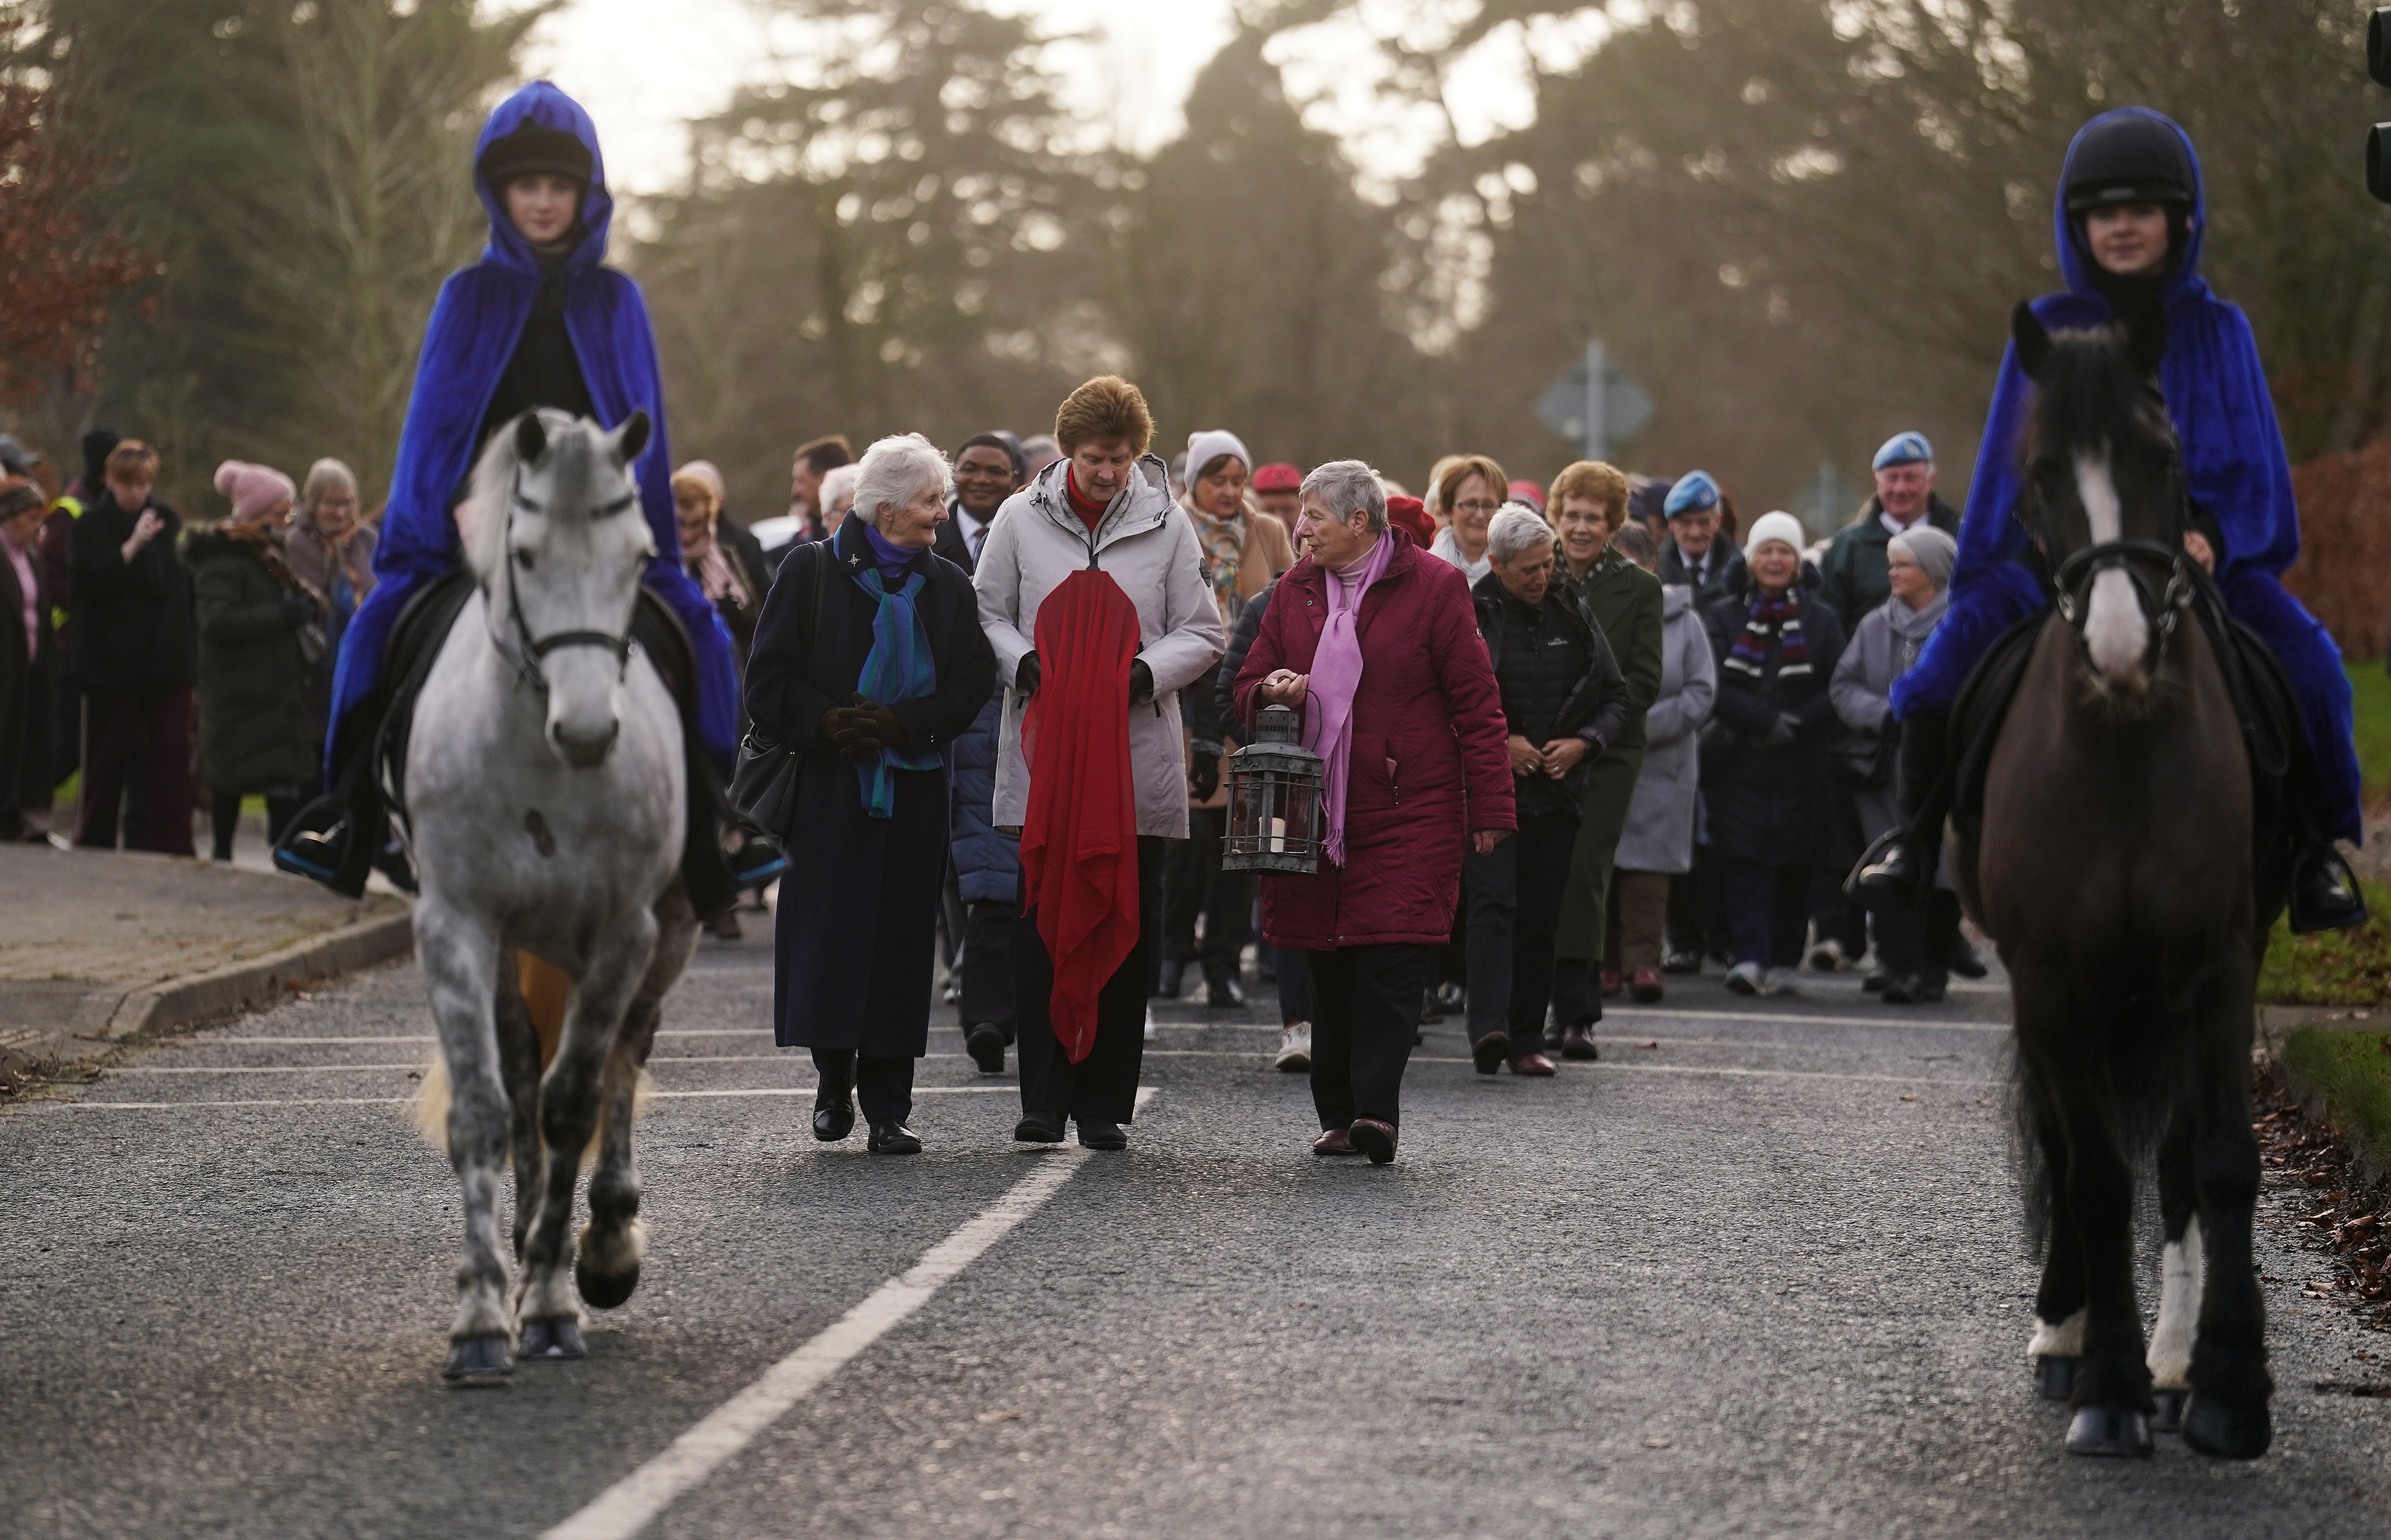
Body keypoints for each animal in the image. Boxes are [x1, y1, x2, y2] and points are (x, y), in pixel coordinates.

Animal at [404, 409, 698, 1387]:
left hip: (665, 934)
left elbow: (578, 1099)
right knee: (525, 1068)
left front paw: (554, 1297)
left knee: (621, 1060)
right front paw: (483, 1313)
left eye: (641, 556)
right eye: (525, 555)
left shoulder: (623, 930)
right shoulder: (455, 922)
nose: (589, 729)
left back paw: (600, 1241)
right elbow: (489, 1108)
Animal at [1960, 297, 2276, 1454]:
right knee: (2065, 1150)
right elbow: (2091, 1177)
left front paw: (2223, 1379)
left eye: (2164, 457)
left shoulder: (2217, 964)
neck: (2123, 749)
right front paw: (2104, 1383)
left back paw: (2174, 1357)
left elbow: (2216, 1161)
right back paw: (2066, 1330)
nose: (2119, 646)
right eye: (2040, 472)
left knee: (2178, 1164)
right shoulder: (2051, 978)